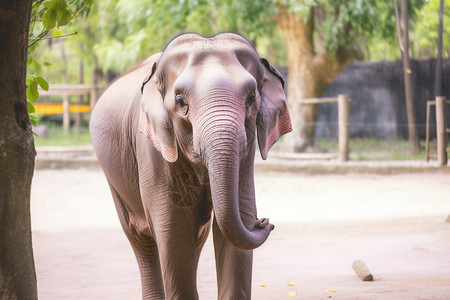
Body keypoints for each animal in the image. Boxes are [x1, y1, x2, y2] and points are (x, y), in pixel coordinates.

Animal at [89, 32, 292, 300]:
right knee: (142, 240)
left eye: (251, 98)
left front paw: (247, 218)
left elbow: (237, 218)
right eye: (180, 101)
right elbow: (173, 228)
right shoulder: (152, 149)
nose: (265, 222)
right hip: (115, 180)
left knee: (196, 235)